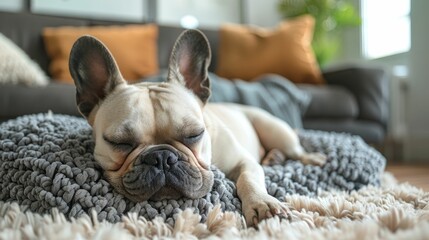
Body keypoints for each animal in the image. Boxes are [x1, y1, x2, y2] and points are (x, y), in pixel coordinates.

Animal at [69, 29, 324, 226]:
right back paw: (274, 158)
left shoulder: (244, 162)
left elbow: (249, 179)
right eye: (120, 143)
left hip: (274, 129)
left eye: (194, 134)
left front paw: (263, 204)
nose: (162, 157)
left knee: (296, 151)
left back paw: (309, 158)